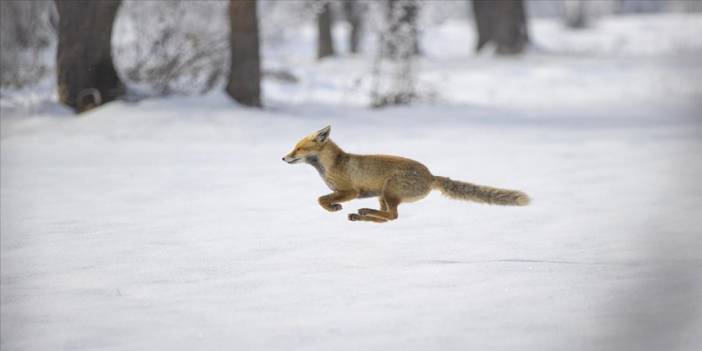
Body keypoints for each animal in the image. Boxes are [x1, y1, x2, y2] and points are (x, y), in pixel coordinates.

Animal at [284, 126, 532, 223]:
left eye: (298, 149)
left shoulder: (350, 191)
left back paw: (361, 213)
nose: (283, 158)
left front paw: (333, 207)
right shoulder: (348, 192)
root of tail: (431, 176)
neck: (333, 165)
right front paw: (335, 207)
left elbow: (321, 199)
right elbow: (322, 198)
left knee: (392, 216)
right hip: (382, 195)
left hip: (389, 190)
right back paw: (361, 215)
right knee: (388, 218)